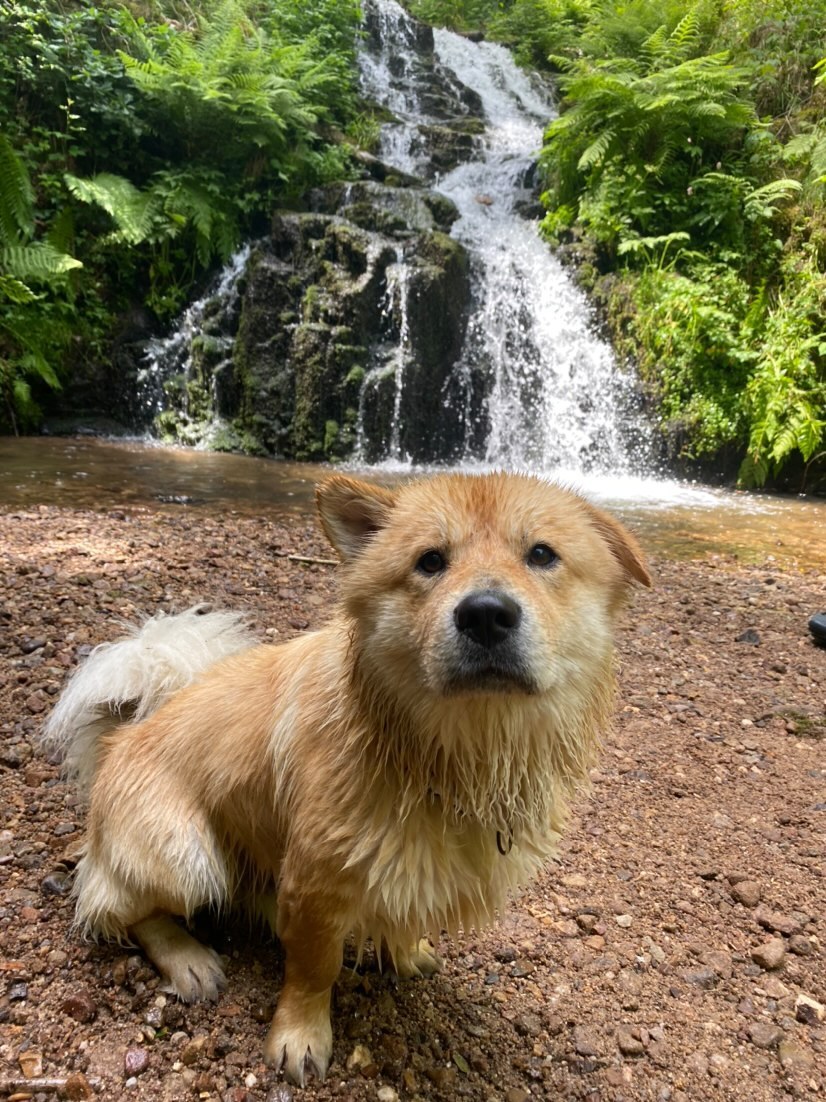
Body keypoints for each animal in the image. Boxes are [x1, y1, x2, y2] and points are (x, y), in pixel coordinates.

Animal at [45, 471, 651, 1084]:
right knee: (117, 907)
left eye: (542, 555)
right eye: (430, 561)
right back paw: (189, 959)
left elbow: (403, 915)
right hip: (185, 855)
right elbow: (315, 970)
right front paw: (300, 1036)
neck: (452, 753)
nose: (485, 613)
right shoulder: (316, 879)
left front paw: (405, 953)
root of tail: (118, 740)